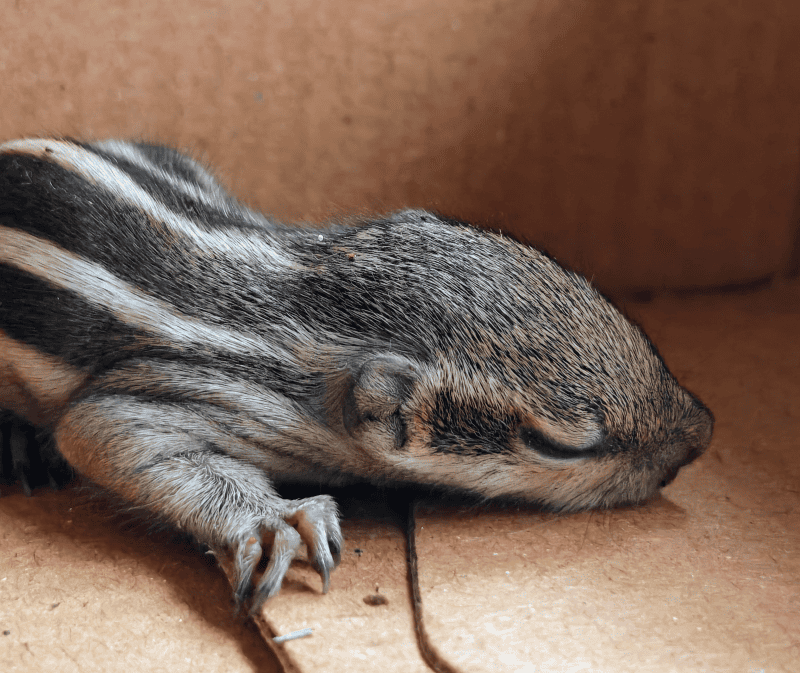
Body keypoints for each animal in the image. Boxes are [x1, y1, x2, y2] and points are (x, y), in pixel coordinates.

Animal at [0, 138, 713, 613]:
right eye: (562, 444)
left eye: (592, 291)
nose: (702, 432)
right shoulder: (198, 390)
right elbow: (101, 428)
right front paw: (276, 521)